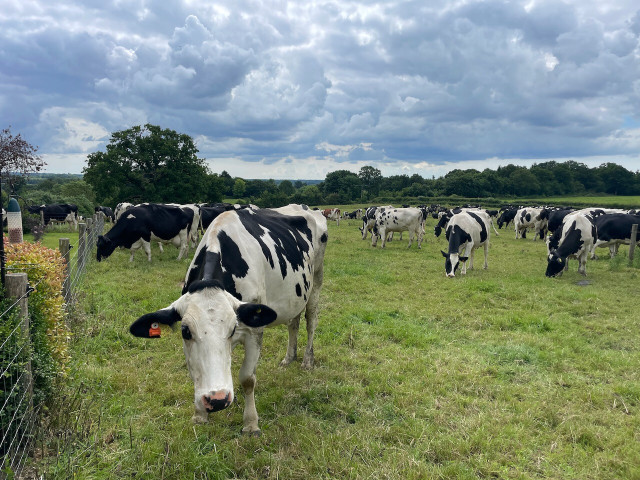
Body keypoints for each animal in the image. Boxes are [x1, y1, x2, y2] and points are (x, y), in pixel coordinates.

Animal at [128, 204, 328, 434]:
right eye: (185, 331)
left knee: (311, 320)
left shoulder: (253, 330)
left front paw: (251, 424)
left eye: (233, 329)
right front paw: (200, 415)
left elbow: (247, 378)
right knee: (293, 323)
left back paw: (307, 360)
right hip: (294, 296)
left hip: (316, 281)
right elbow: (195, 373)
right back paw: (289, 357)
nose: (217, 400)